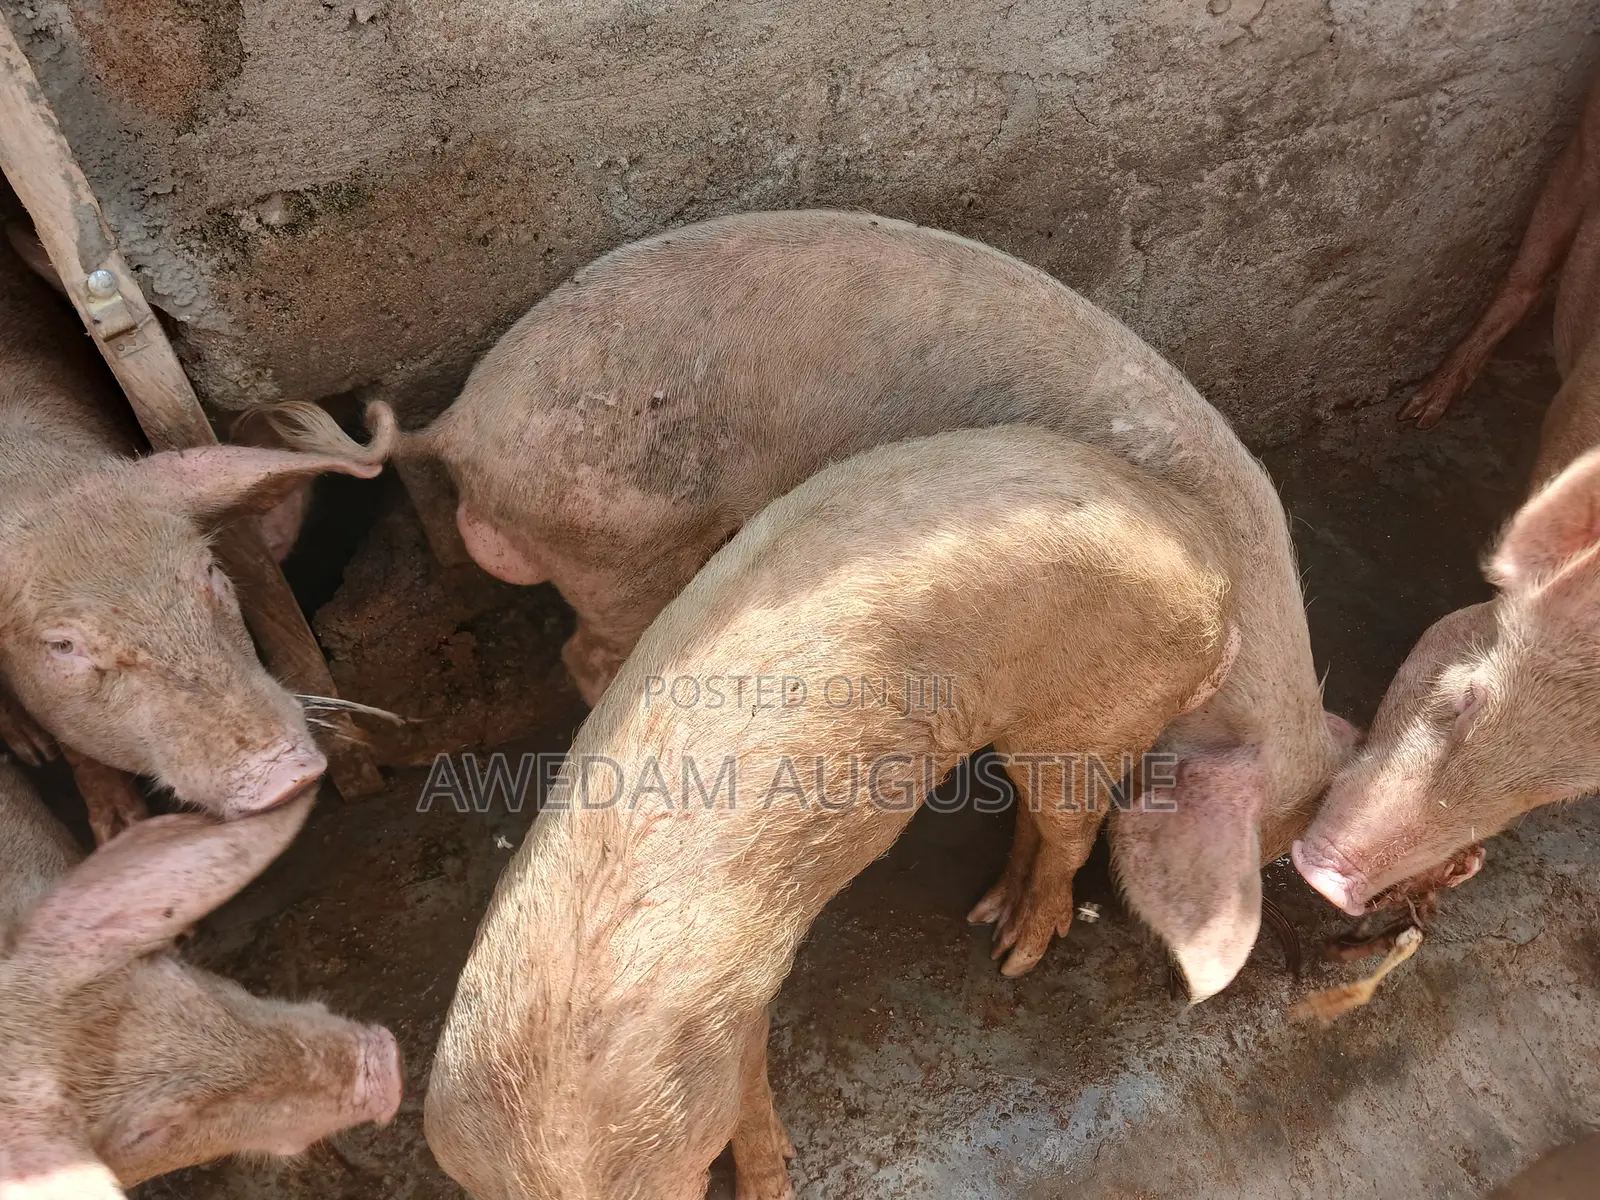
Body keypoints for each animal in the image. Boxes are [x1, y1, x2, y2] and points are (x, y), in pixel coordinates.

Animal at [424, 426, 1241, 1200]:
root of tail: (1211, 567)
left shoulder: (736, 1010)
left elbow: (747, 1102)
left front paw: (773, 1183)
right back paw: (989, 913)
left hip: (1107, 709)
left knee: (1073, 832)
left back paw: (1015, 954)